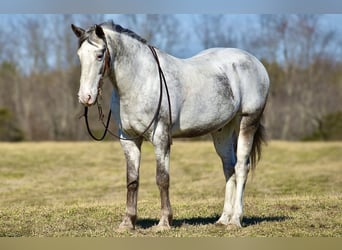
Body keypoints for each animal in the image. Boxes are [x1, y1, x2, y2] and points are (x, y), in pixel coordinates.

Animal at [71, 21, 270, 230]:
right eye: (80, 55)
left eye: (100, 55)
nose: (85, 97)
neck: (141, 81)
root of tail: (255, 62)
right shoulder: (129, 139)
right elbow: (132, 180)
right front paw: (127, 222)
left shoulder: (161, 137)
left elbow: (162, 178)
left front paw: (165, 221)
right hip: (222, 130)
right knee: (229, 168)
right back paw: (223, 219)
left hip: (248, 121)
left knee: (241, 167)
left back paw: (235, 220)